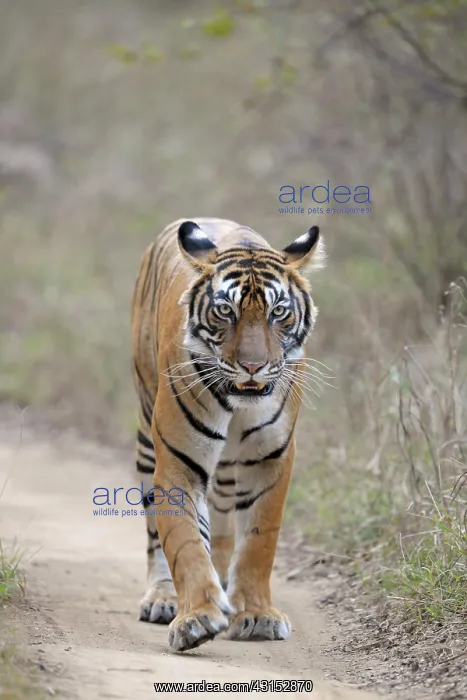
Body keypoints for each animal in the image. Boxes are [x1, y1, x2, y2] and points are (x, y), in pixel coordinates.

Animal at [131, 217, 325, 652]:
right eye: (225, 311)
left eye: (278, 312)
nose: (253, 367)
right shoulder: (179, 463)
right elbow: (185, 543)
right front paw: (198, 618)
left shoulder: (270, 461)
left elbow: (257, 542)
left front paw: (256, 615)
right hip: (148, 433)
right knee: (155, 534)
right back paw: (164, 597)